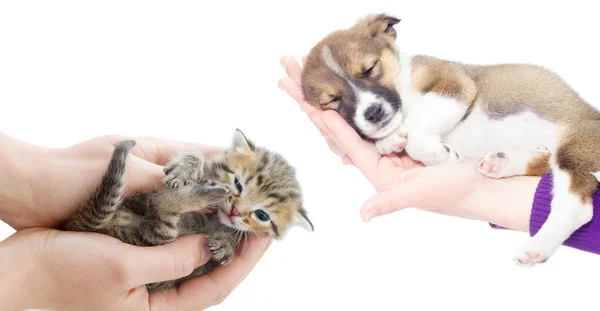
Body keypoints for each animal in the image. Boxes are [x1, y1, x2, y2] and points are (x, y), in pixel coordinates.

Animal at [62, 129, 312, 292]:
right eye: (238, 184)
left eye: (262, 215)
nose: (234, 211)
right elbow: (198, 156)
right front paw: (186, 168)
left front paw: (227, 241)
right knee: (159, 207)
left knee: (160, 217)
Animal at [302, 13, 600, 268]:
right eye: (332, 101)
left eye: (370, 68)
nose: (373, 113)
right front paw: (389, 139)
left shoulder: (453, 85)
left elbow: (417, 133)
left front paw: (437, 154)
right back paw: (500, 163)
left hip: (573, 147)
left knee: (578, 206)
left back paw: (536, 247)